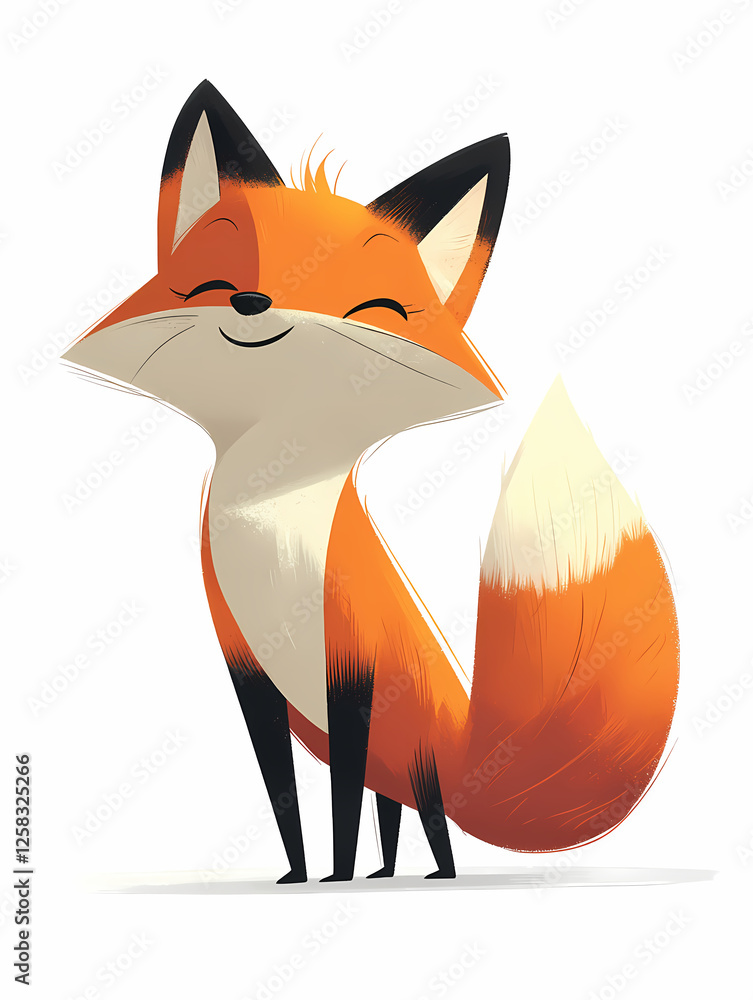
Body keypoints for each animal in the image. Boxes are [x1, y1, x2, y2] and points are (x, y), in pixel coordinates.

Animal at [61, 80, 679, 884]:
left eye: (375, 308)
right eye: (216, 282)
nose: (254, 305)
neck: (274, 520)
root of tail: (464, 729)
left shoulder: (353, 666)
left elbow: (340, 808)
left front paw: (332, 877)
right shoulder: (247, 670)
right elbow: (286, 800)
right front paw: (297, 877)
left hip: (413, 753)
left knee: (429, 818)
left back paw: (430, 875)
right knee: (396, 812)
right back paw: (388, 872)